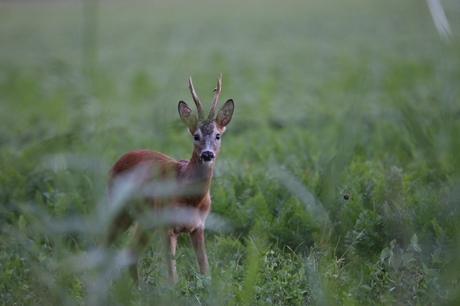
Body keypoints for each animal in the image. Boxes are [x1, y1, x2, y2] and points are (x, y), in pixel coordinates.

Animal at [106, 73, 235, 284]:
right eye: (196, 136)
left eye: (218, 135)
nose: (207, 154)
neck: (190, 198)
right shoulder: (166, 225)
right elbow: (172, 277)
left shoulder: (199, 226)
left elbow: (205, 269)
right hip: (121, 208)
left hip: (146, 221)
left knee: (130, 252)